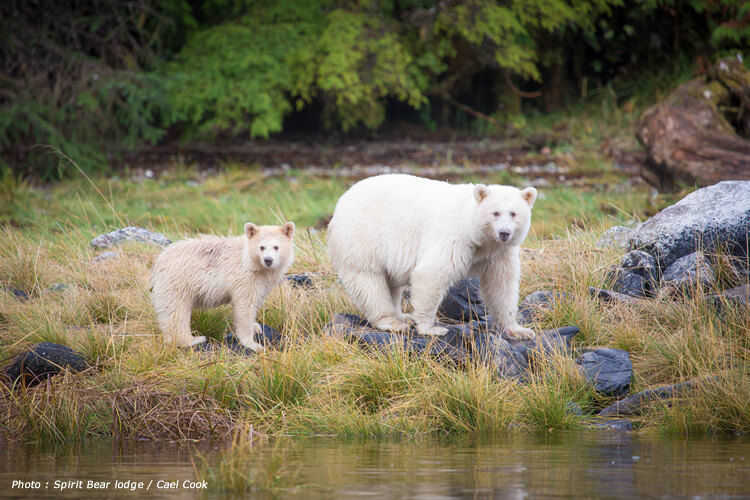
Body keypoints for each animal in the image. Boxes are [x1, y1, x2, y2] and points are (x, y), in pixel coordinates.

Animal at [151, 223, 296, 352]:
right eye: (262, 247)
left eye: (276, 247)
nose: (268, 260)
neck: (248, 260)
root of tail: (159, 261)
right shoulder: (244, 278)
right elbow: (244, 306)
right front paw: (253, 344)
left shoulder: (262, 281)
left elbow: (255, 302)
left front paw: (256, 327)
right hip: (179, 281)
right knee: (176, 311)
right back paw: (193, 340)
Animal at [328, 173, 536, 340]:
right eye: (495, 213)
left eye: (513, 214)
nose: (504, 232)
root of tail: (339, 204)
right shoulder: (454, 237)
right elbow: (431, 274)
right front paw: (431, 329)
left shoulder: (499, 252)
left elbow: (501, 284)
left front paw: (519, 330)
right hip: (362, 239)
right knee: (369, 281)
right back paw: (392, 322)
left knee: (391, 282)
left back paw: (403, 316)